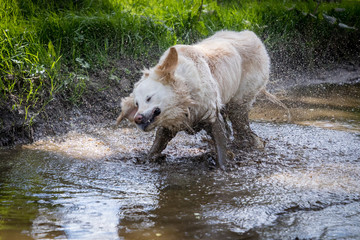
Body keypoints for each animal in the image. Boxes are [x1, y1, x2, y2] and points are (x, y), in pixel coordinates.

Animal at [115, 29, 284, 169]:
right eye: (137, 104)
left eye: (149, 98)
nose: (137, 118)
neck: (186, 90)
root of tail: (251, 35)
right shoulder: (169, 124)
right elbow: (157, 144)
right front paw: (148, 159)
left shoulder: (211, 115)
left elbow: (220, 146)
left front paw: (223, 167)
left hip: (240, 103)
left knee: (243, 129)